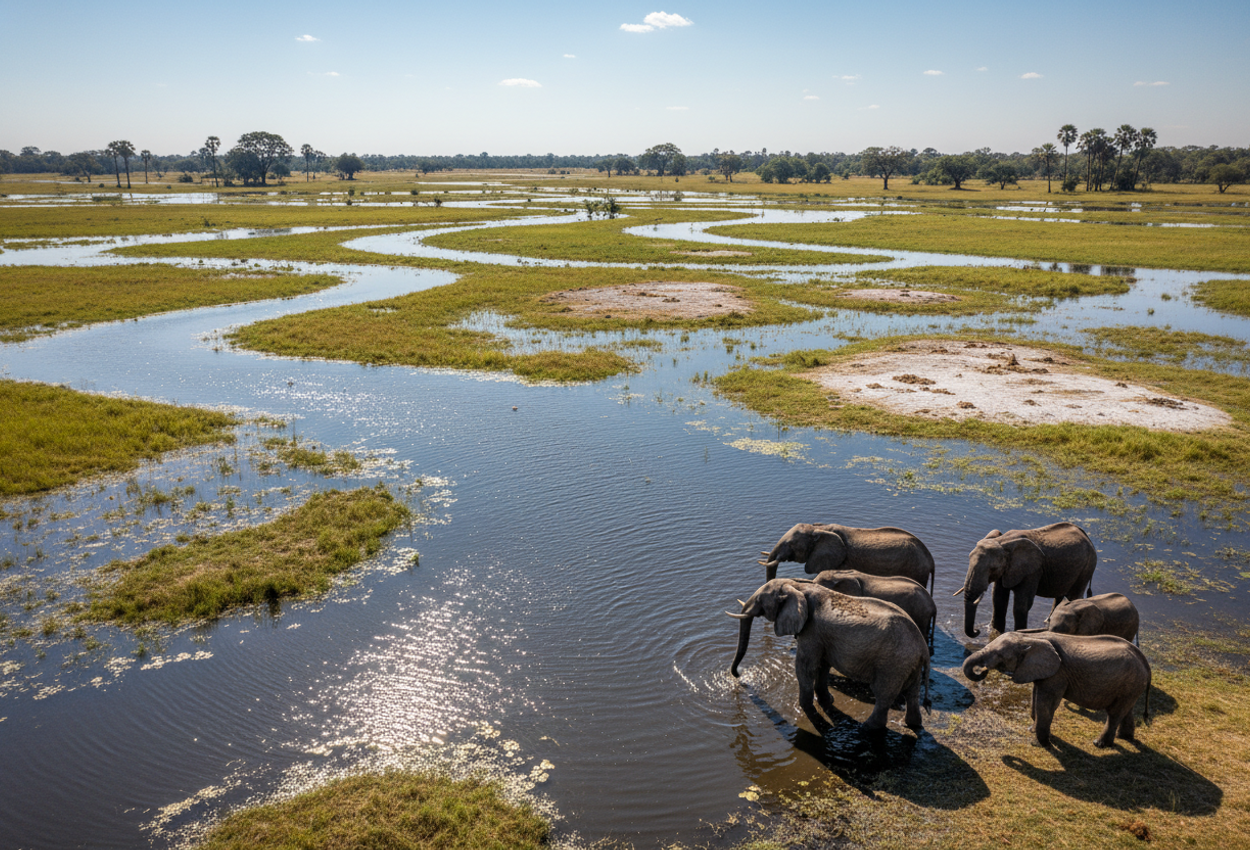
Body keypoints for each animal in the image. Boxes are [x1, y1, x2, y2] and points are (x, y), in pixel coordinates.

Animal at [729, 578, 930, 732]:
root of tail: (923, 647)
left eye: (760, 600)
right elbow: (823, 665)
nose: (739, 676)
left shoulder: (812, 630)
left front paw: (806, 708)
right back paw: (911, 725)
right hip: (909, 664)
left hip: (893, 664)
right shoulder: (824, 636)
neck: (796, 585)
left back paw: (866, 728)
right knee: (912, 693)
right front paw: (827, 701)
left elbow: (805, 667)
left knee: (883, 694)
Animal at [956, 522, 1097, 638]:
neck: (1003, 541)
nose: (977, 631)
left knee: (1074, 596)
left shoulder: (1033, 570)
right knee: (1060, 596)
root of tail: (1088, 538)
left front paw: (1019, 632)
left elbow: (1021, 605)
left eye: (992, 568)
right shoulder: (1007, 569)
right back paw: (1048, 622)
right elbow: (998, 600)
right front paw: (995, 632)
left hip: (1087, 566)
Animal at [962, 631, 1150, 748]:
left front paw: (1041, 744)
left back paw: (1099, 744)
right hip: (1131, 685)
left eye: (1000, 656)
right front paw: (1032, 730)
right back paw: (1124, 738)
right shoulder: (1042, 671)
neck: (1031, 637)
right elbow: (1035, 698)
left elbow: (1045, 704)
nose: (983, 670)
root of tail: (1145, 661)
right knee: (1126, 710)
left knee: (1114, 714)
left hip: (1130, 682)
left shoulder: (1058, 674)